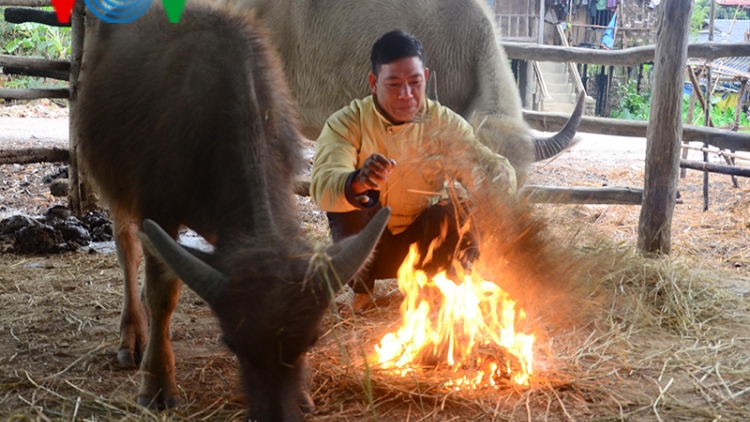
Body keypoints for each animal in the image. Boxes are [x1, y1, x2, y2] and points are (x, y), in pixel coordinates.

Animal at [78, 2, 390, 418]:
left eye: (311, 341)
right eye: (232, 344)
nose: (277, 414)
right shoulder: (157, 208)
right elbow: (162, 294)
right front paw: (157, 382)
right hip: (114, 181)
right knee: (126, 245)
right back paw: (133, 333)